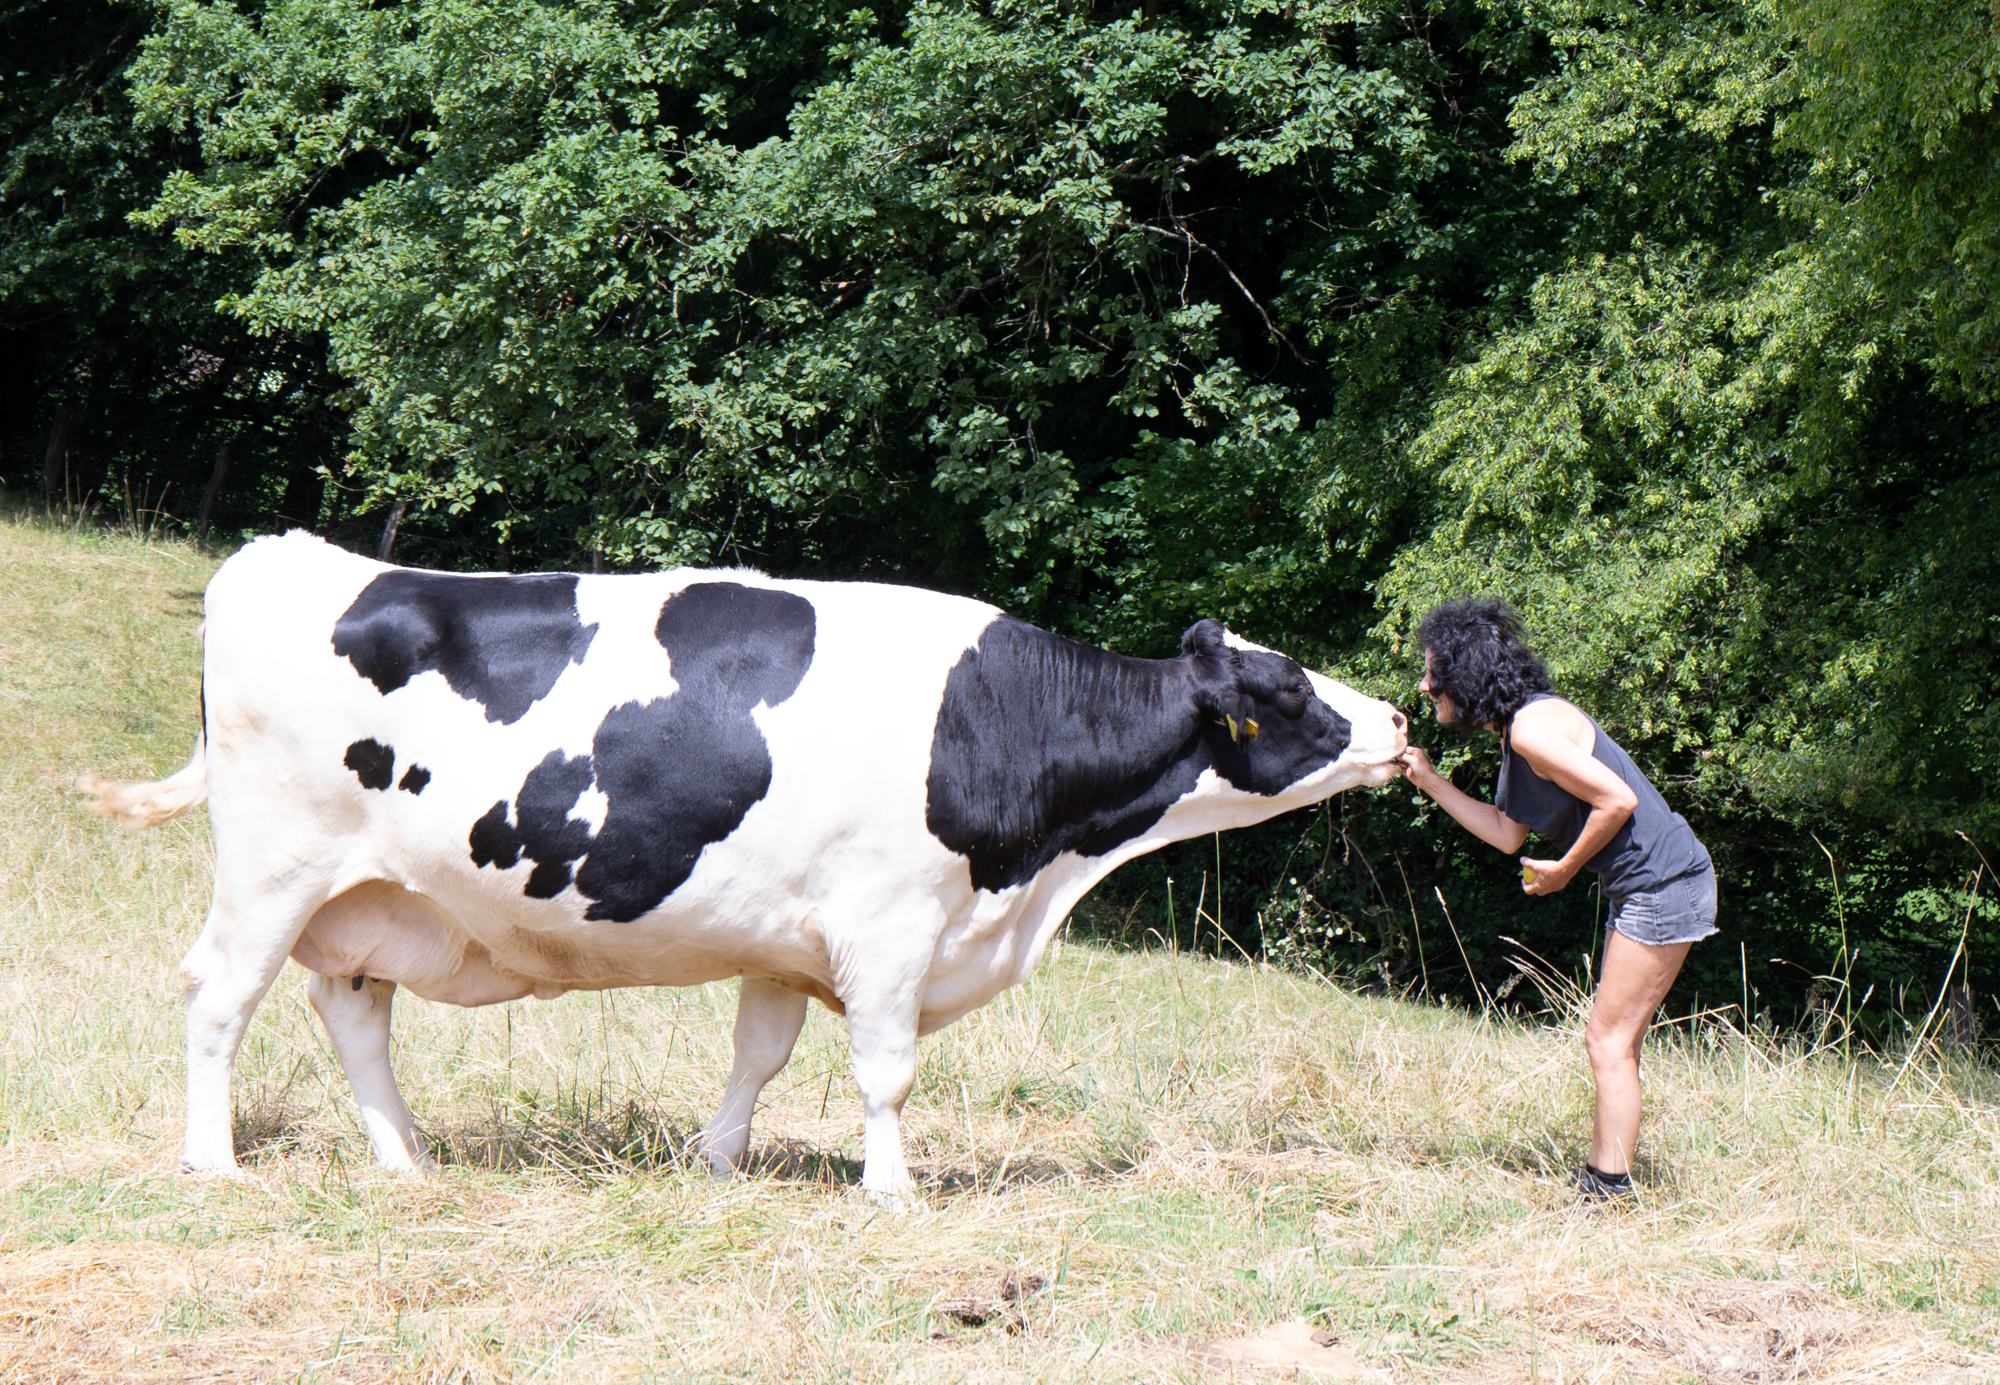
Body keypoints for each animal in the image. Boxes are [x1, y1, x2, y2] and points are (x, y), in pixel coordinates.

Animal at [82, 532, 1407, 1200]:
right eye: (1288, 687)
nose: (1397, 716)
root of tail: (282, 551)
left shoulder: (789, 927)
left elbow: (758, 1054)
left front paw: (715, 1157)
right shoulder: (889, 922)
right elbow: (885, 1072)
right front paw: (890, 1189)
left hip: (372, 891)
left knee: (353, 1010)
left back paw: (405, 1159)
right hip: (272, 864)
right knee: (218, 994)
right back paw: (213, 1159)